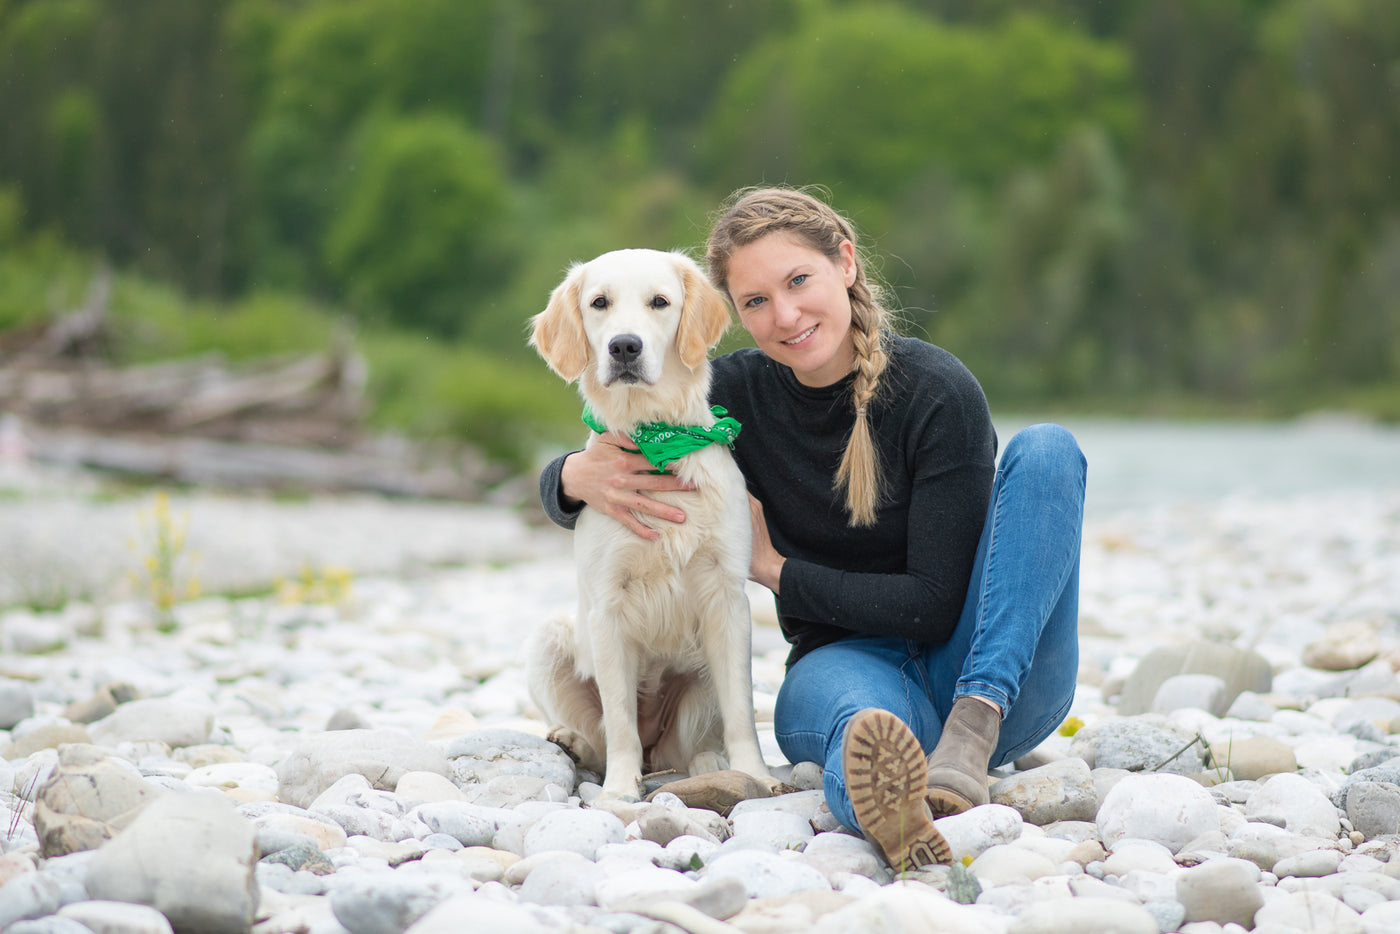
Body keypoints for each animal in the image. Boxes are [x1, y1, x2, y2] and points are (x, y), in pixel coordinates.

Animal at [526, 248, 778, 802]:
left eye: (659, 302)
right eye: (599, 303)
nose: (624, 346)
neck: (654, 437)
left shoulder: (727, 599)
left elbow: (741, 710)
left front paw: (756, 774)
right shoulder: (607, 605)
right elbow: (620, 717)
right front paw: (621, 788)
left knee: (695, 746)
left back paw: (713, 766)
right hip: (550, 637)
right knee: (602, 736)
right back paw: (573, 742)